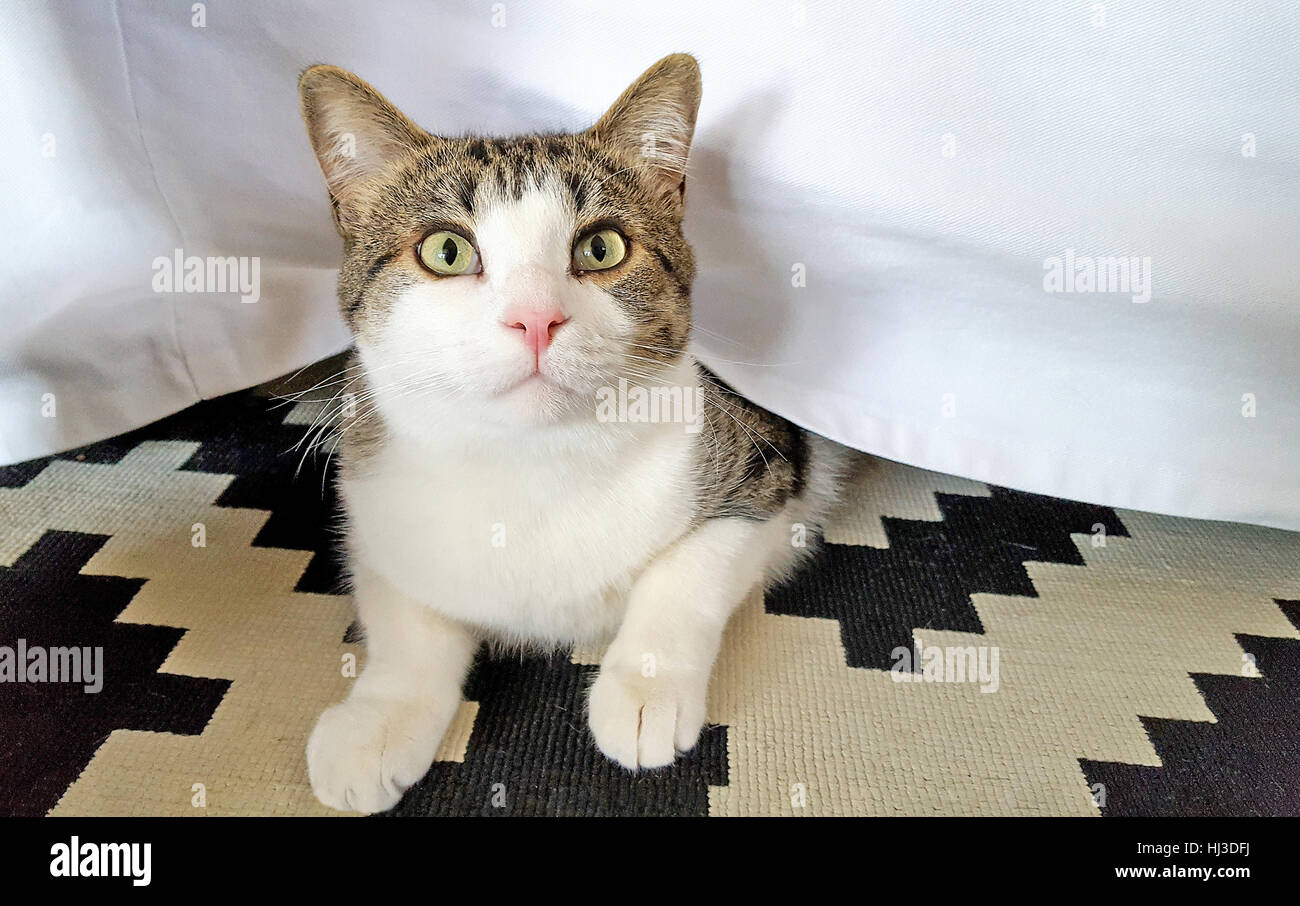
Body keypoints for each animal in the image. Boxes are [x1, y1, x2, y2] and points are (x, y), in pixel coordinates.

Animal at [299, 52, 857, 811]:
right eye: (445, 250)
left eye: (601, 247)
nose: (536, 318)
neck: (531, 464)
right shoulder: (373, 489)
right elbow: (403, 618)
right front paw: (378, 718)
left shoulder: (768, 467)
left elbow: (691, 569)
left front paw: (644, 690)